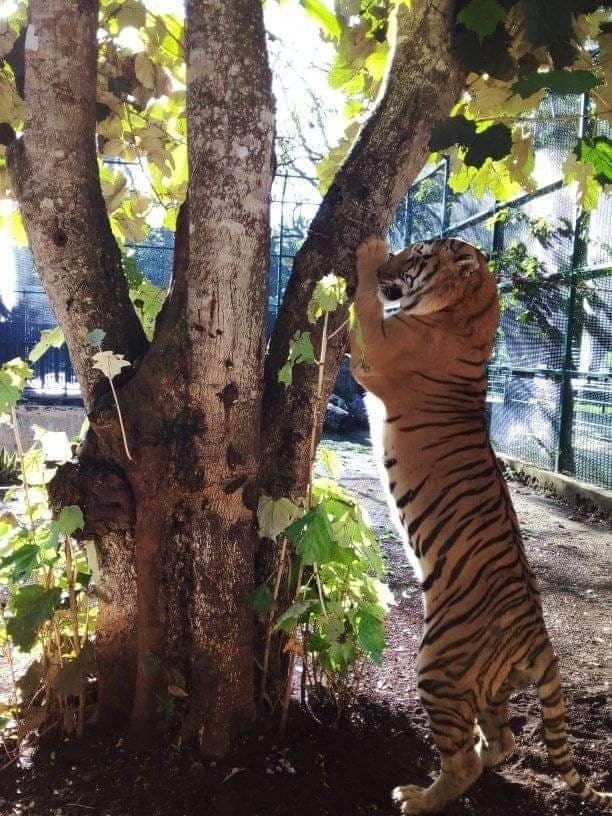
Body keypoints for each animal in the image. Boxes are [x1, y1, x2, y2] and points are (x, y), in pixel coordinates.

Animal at [346, 236, 608, 816]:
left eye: (415, 255)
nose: (387, 264)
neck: (470, 314)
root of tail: (540, 638)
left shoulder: (377, 353)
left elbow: (365, 308)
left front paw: (366, 252)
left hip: (438, 666)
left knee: (461, 760)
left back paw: (416, 798)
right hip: (484, 685)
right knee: (503, 738)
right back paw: (485, 760)